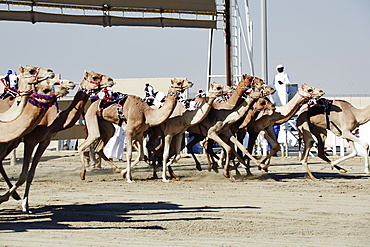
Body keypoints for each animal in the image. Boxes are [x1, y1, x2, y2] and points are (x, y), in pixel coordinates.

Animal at [0, 71, 114, 212]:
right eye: (95, 77)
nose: (111, 80)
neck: (52, 120)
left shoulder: (45, 141)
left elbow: (31, 173)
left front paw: (24, 204)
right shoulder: (31, 140)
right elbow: (23, 175)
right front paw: (16, 202)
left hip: (10, 143)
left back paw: (15, 195)